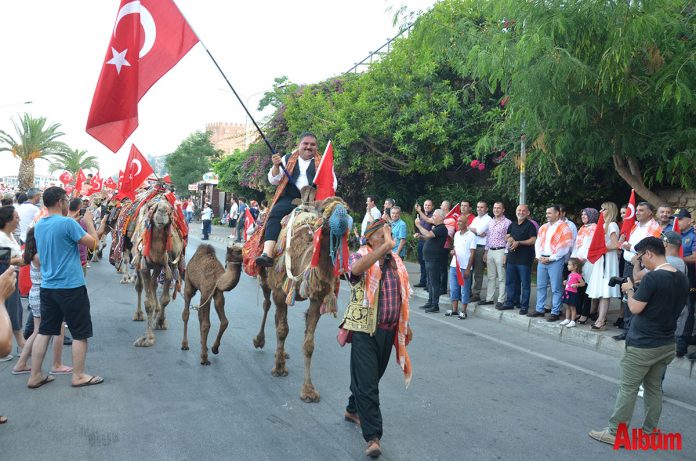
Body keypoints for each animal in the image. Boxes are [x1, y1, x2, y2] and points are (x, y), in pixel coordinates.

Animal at [254, 192, 350, 400]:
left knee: (276, 316)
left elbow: (309, 344)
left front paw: (308, 390)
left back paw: (281, 353)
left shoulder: (317, 298)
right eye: (323, 209)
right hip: (266, 278)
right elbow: (283, 330)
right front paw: (279, 369)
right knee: (266, 305)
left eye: (347, 210)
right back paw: (260, 340)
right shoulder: (280, 290)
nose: (341, 218)